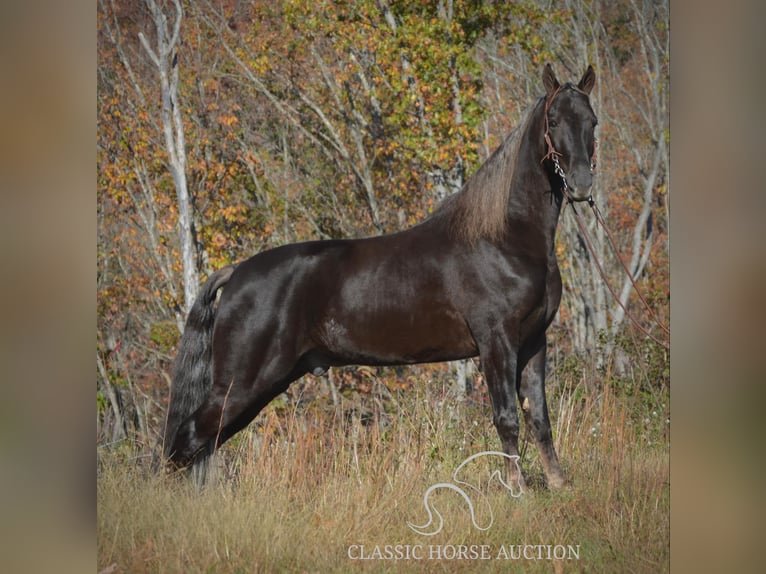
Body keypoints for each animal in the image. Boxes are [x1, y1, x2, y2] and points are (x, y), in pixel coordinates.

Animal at [165, 64, 604, 490]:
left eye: (592, 121)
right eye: (553, 120)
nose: (581, 183)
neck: (504, 238)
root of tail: (237, 272)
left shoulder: (533, 341)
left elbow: (539, 417)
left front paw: (559, 484)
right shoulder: (496, 341)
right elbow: (507, 417)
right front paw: (518, 489)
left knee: (203, 445)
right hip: (242, 385)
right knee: (186, 442)